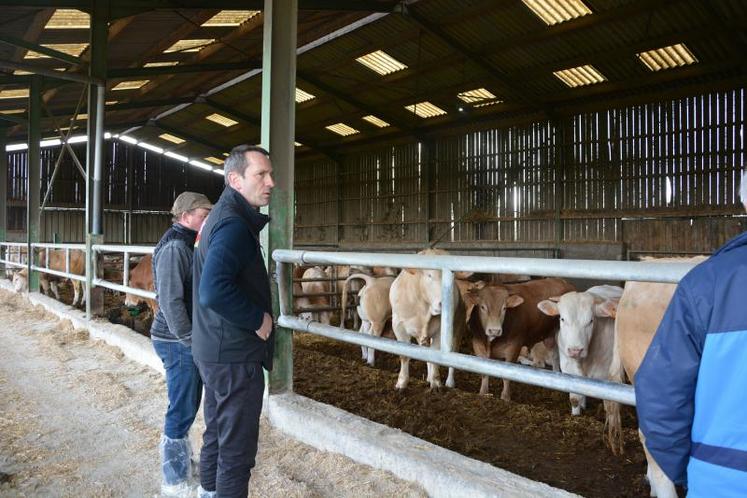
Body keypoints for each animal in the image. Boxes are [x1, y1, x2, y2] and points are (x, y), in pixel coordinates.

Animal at [540, 284, 624, 416]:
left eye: (591, 320)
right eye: (562, 319)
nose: (575, 350)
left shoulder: (606, 374)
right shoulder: (568, 369)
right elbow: (574, 398)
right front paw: (576, 414)